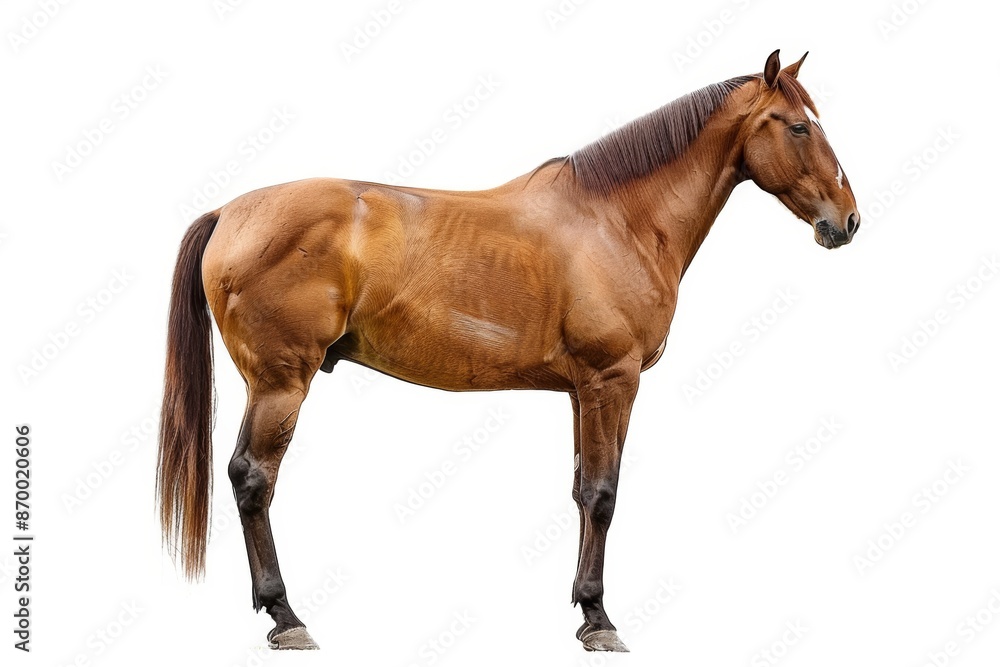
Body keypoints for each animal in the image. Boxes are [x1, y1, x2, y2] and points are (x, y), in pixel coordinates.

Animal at [157, 49, 859, 652]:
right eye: (799, 126)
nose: (846, 220)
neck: (617, 219)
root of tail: (229, 212)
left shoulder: (583, 391)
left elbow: (580, 491)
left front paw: (582, 606)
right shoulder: (613, 381)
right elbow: (604, 494)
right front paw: (600, 620)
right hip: (280, 383)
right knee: (253, 478)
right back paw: (286, 616)